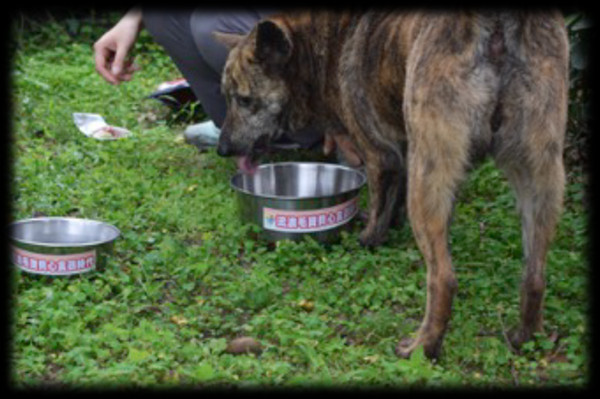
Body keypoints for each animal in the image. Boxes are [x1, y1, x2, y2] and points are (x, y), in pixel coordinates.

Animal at [213, 10, 568, 360]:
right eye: (227, 98)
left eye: (244, 100)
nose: (223, 148)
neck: (325, 40)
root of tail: (495, 26)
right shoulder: (404, 156)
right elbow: (391, 206)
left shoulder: (381, 156)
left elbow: (378, 209)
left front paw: (366, 238)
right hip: (540, 176)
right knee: (535, 275)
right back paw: (526, 336)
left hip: (428, 176)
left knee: (443, 278)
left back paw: (423, 346)